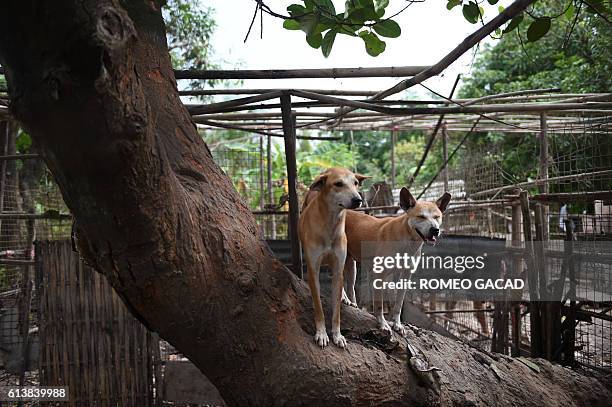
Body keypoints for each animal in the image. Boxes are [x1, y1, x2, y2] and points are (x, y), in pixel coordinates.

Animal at [298, 167, 366, 350]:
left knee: (347, 284)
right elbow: (319, 308)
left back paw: (348, 299)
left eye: (355, 183)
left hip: (349, 266)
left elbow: (336, 313)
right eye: (338, 184)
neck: (330, 224)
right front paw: (321, 334)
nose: (358, 199)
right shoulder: (313, 271)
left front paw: (338, 335)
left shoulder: (338, 267)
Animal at [342, 188, 452, 334]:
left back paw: (353, 305)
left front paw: (397, 324)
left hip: (351, 265)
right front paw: (382, 323)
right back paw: (343, 298)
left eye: (436, 217)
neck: (407, 241)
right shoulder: (379, 274)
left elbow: (398, 304)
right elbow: (379, 305)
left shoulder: (404, 275)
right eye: (421, 217)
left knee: (350, 287)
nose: (435, 230)